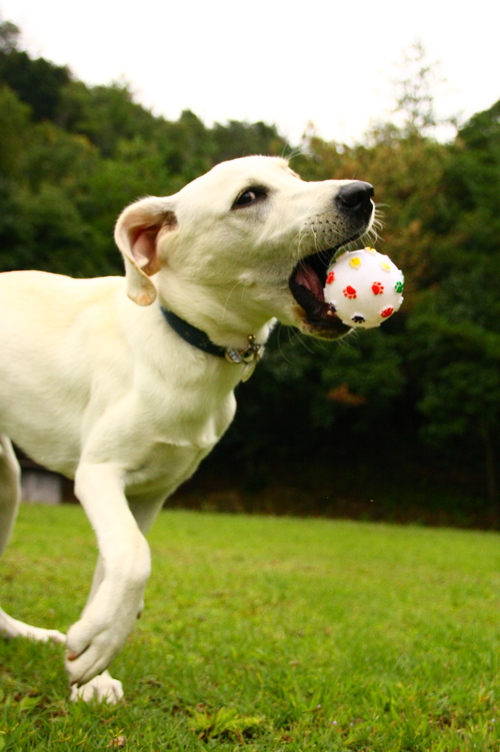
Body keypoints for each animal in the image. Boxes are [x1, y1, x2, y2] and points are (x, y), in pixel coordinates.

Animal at [0, 156, 374, 704]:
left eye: (294, 175)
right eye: (248, 197)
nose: (361, 193)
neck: (186, 344)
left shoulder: (149, 493)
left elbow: (112, 566)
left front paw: (90, 669)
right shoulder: (99, 472)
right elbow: (135, 558)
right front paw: (98, 644)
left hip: (7, 482)